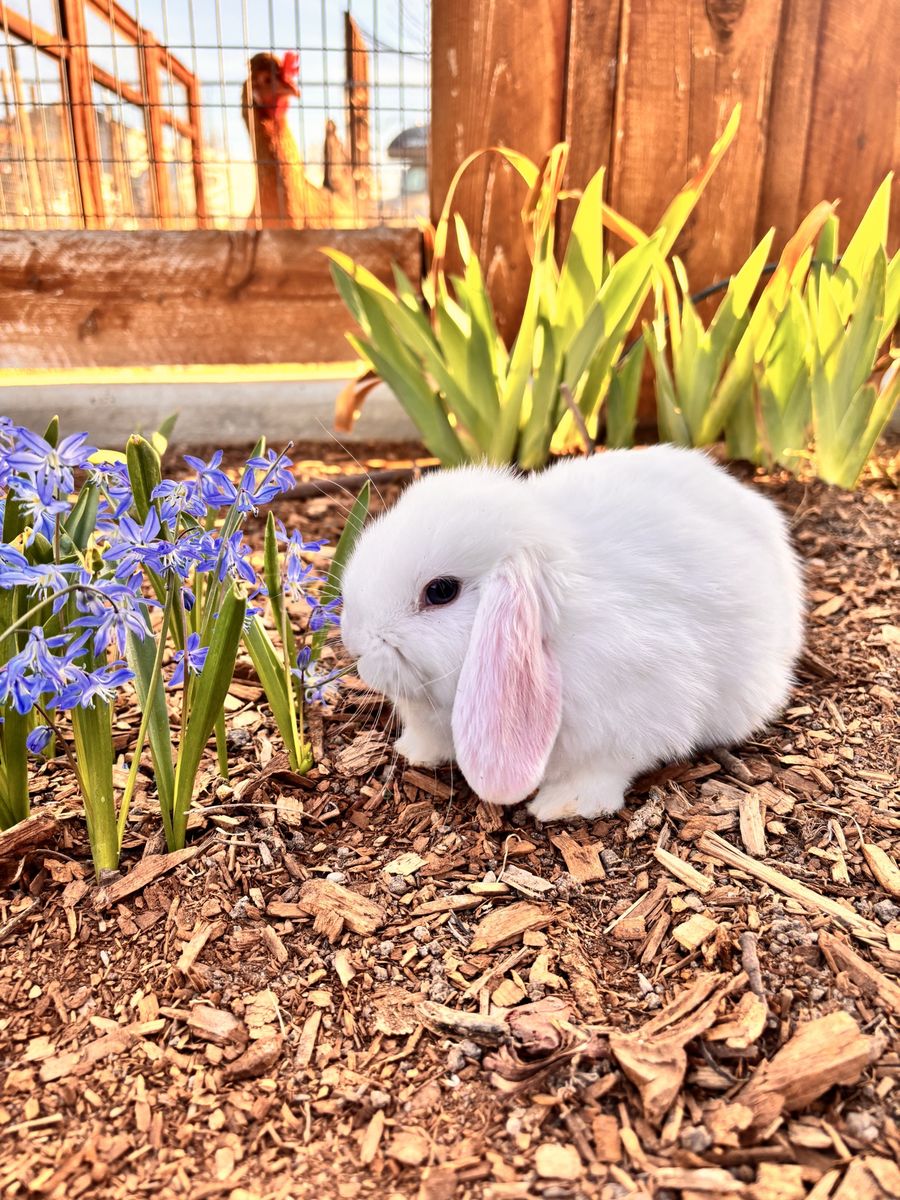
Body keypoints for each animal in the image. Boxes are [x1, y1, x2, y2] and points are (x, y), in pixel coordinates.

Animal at [340, 446, 804, 822]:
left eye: (440, 591)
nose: (354, 643)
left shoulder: (634, 717)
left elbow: (603, 769)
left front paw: (562, 806)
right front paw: (412, 752)